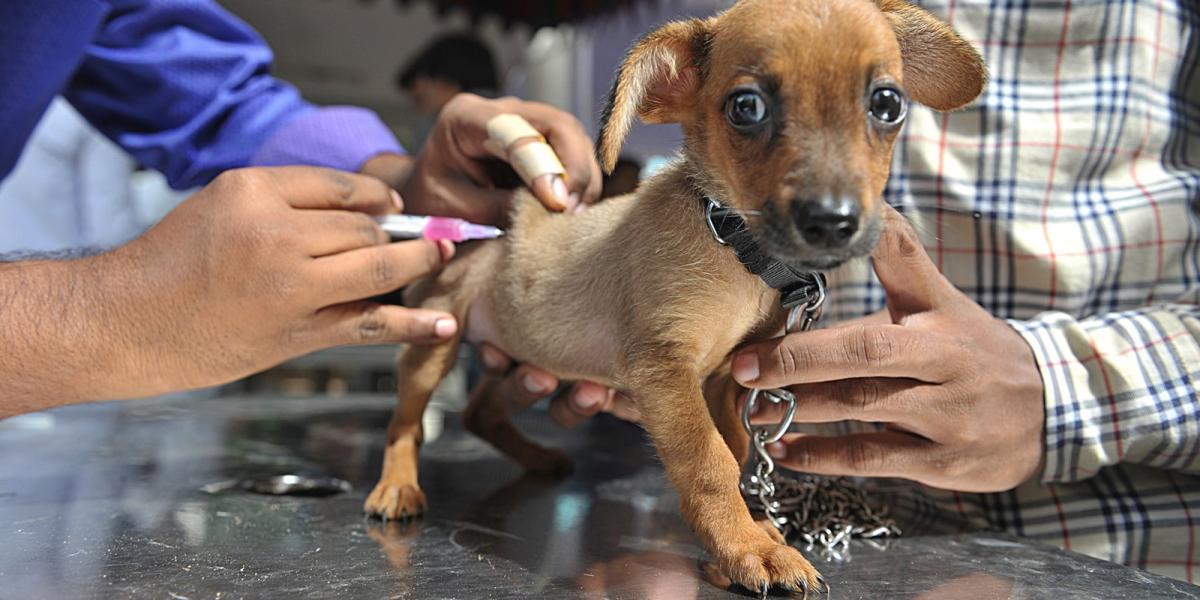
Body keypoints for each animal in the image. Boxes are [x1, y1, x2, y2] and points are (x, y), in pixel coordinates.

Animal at [364, 0, 984, 590]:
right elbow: (710, 462)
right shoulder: (666, 370)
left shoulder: (726, 378)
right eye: (746, 107)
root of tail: (504, 217)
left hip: (529, 358)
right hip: (435, 341)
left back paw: (538, 457)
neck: (735, 248)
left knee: (479, 411)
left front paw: (744, 535)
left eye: (887, 103)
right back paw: (396, 488)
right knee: (407, 422)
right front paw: (748, 546)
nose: (832, 221)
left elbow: (736, 450)